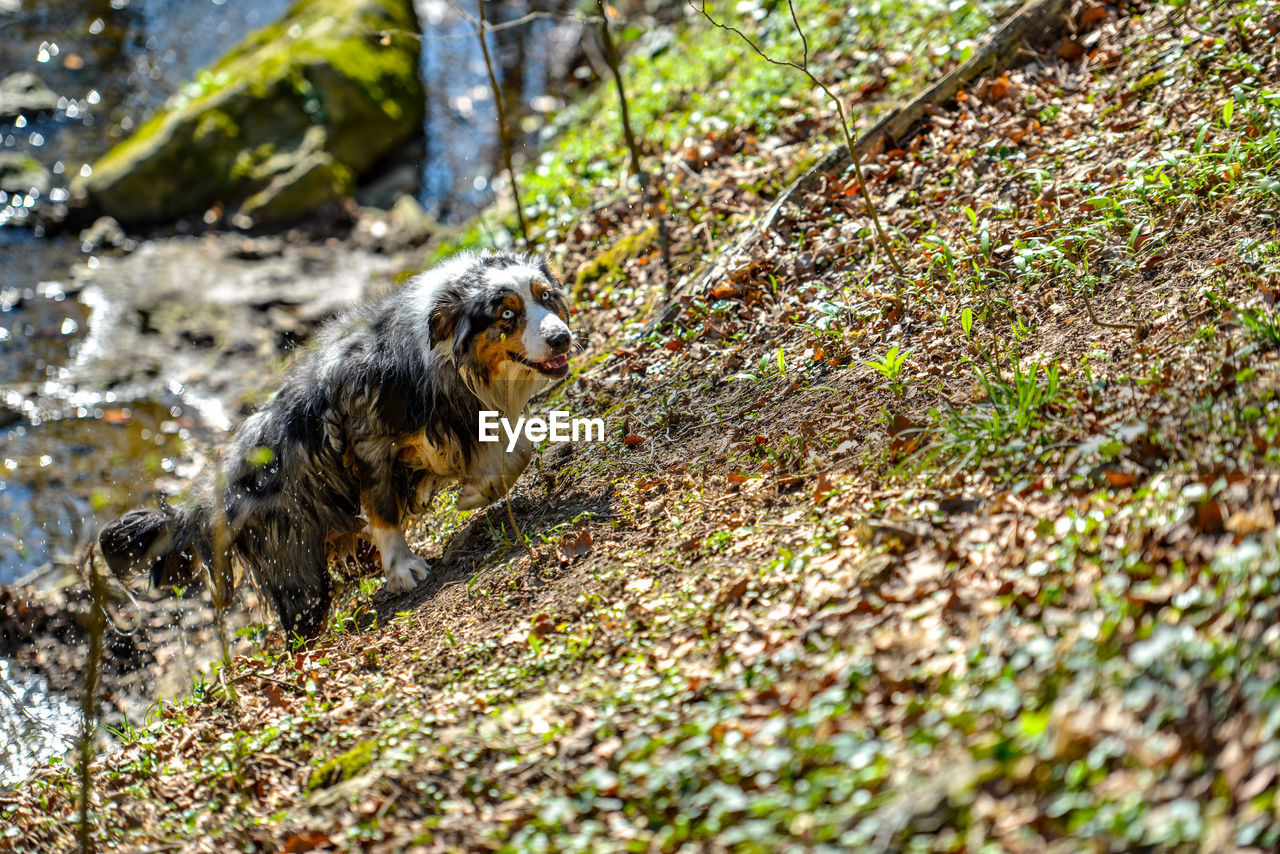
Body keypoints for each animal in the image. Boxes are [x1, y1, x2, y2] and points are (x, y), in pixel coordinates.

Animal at [98, 253, 576, 640]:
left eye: (546, 297)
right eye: (507, 314)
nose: (562, 339)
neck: (439, 358)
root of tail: (206, 501)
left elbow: (518, 450)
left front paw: (477, 491)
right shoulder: (368, 444)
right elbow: (382, 510)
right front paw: (403, 568)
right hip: (297, 569)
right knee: (300, 627)